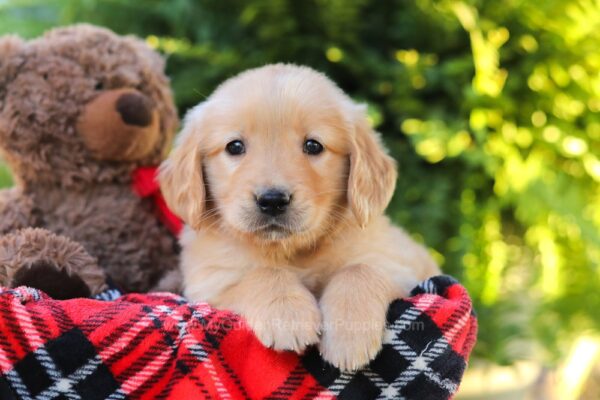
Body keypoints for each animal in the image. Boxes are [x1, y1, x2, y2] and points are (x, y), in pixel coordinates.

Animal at [159, 64, 440, 370]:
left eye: (313, 145)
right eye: (234, 146)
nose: (272, 200)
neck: (292, 251)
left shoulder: (399, 266)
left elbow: (360, 270)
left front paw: (348, 336)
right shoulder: (209, 283)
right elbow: (261, 273)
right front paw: (288, 314)